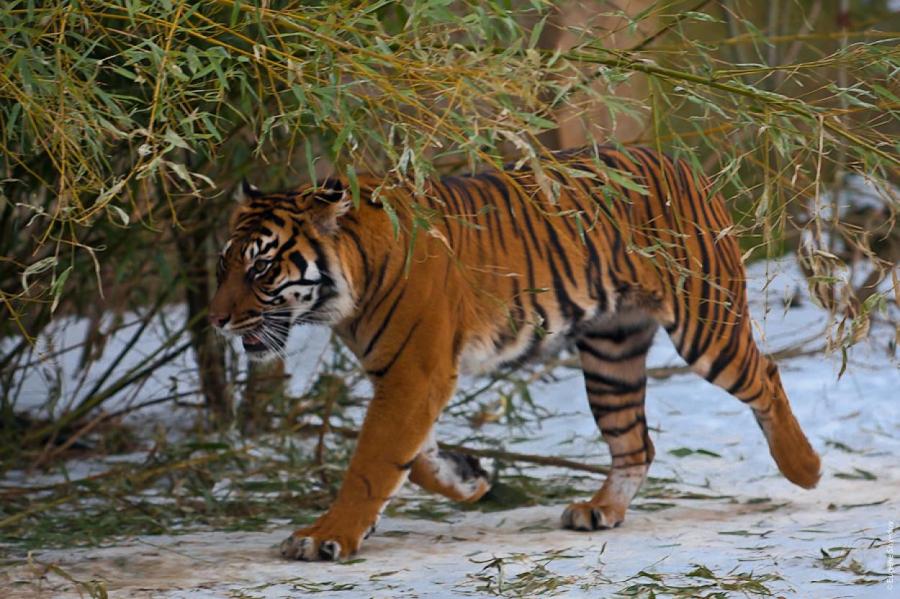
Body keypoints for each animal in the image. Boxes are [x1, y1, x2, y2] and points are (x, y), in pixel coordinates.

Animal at [211, 145, 824, 564]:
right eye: (224, 264)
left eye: (261, 268)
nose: (216, 320)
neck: (350, 284)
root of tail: (680, 161)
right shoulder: (405, 375)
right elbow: (415, 457)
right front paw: (470, 479)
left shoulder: (416, 371)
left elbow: (371, 462)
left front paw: (325, 537)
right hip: (611, 354)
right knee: (635, 442)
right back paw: (600, 511)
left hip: (704, 323)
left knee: (766, 374)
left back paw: (807, 469)